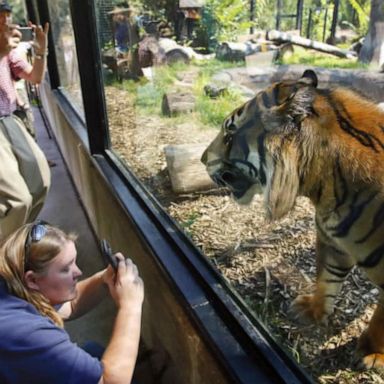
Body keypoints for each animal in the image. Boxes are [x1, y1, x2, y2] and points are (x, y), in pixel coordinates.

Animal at [200, 69, 384, 368]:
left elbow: (381, 319)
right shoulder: (332, 241)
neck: (324, 183)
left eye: (229, 134)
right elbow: (327, 278)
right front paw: (312, 309)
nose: (202, 159)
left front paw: (372, 353)